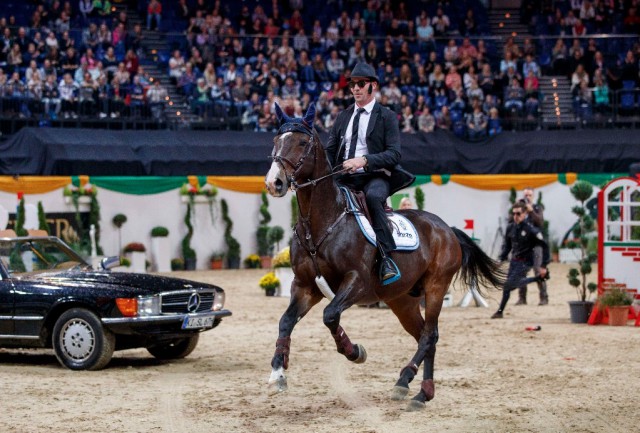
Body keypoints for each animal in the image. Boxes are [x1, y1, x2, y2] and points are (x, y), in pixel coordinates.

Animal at [264, 103, 504, 410]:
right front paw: (277, 374)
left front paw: (355, 351)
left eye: (302, 143)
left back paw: (408, 383)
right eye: (276, 140)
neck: (322, 221)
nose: (274, 182)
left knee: (429, 335)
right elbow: (285, 321)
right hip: (402, 300)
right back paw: (420, 391)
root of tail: (445, 228)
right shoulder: (305, 286)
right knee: (425, 335)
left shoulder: (357, 282)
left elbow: (330, 316)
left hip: (435, 287)